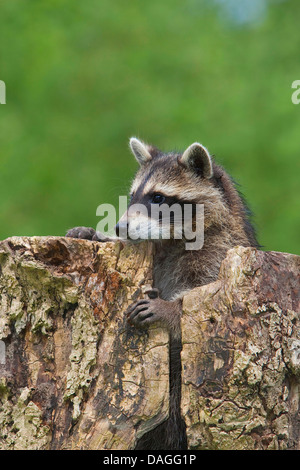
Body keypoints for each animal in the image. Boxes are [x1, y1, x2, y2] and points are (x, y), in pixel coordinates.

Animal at [67, 138, 258, 450]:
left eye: (157, 198)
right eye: (132, 196)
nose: (120, 227)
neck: (173, 238)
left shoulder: (219, 252)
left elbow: (204, 303)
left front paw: (170, 310)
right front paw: (100, 234)